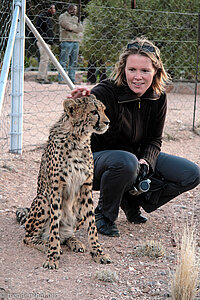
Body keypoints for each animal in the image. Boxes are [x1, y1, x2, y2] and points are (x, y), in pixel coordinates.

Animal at [16, 95, 111, 268]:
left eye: (103, 110)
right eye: (94, 112)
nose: (107, 122)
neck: (78, 138)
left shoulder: (86, 188)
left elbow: (92, 225)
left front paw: (98, 253)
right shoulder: (56, 189)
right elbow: (54, 225)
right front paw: (52, 256)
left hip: (78, 209)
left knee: (66, 234)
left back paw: (74, 242)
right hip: (43, 199)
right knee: (29, 237)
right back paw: (47, 245)